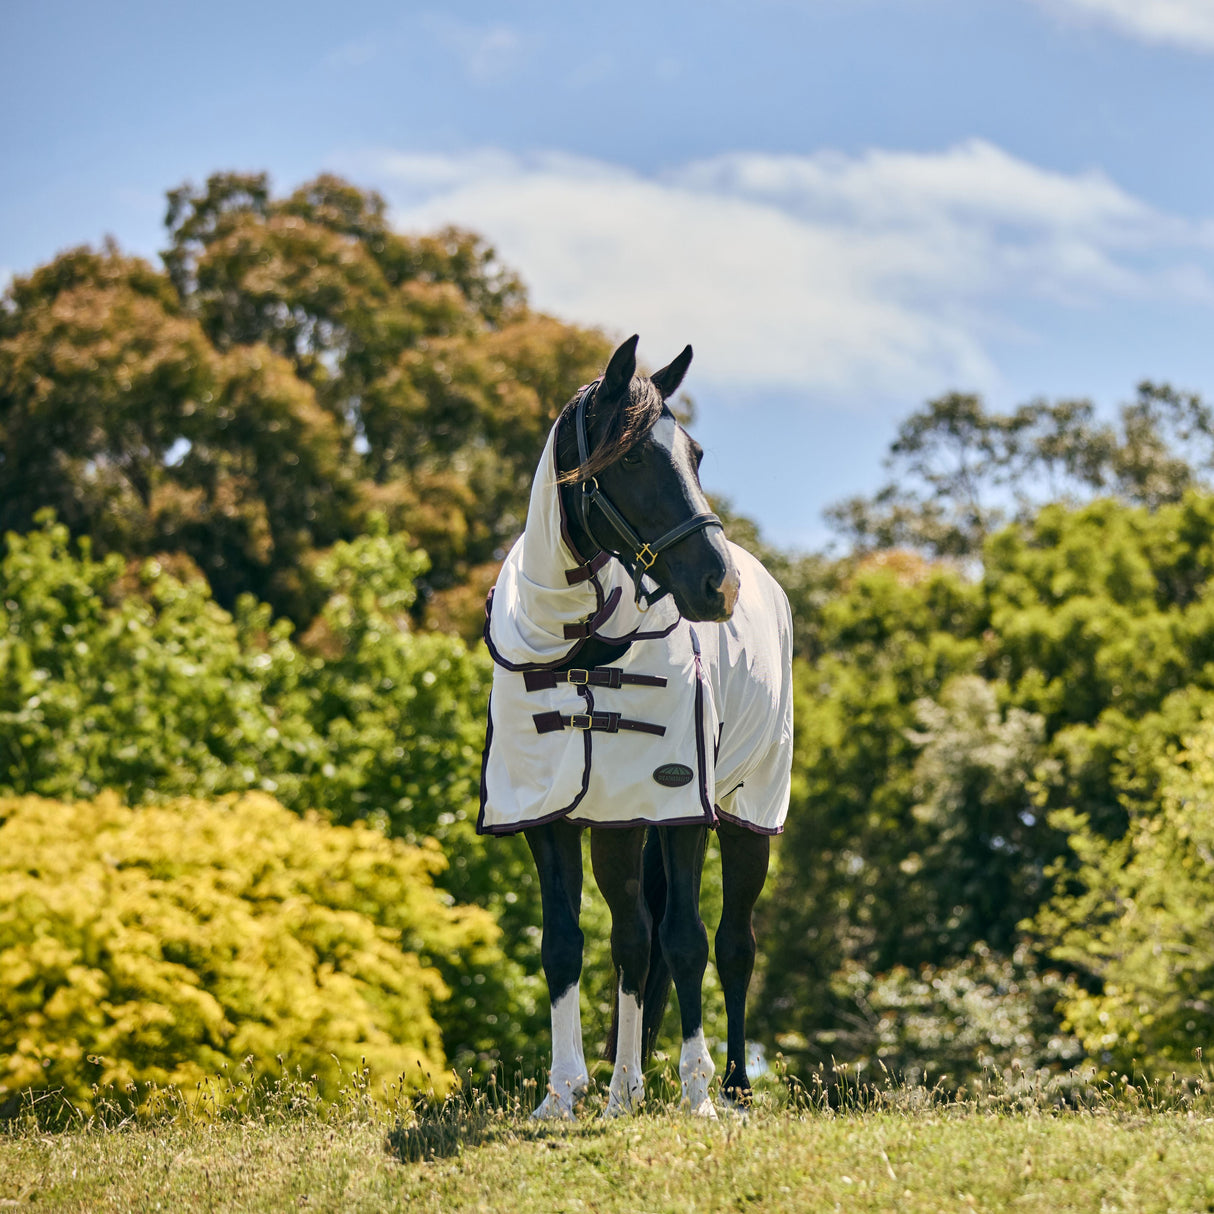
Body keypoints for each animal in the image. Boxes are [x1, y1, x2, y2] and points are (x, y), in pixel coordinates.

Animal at [478, 332, 791, 1116]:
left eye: (696, 455)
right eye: (630, 460)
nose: (718, 585)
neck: (582, 650)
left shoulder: (682, 811)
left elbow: (689, 941)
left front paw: (697, 1094)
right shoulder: (550, 818)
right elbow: (565, 943)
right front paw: (562, 1094)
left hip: (746, 817)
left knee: (731, 943)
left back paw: (733, 1087)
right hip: (618, 826)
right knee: (631, 937)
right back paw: (624, 1088)